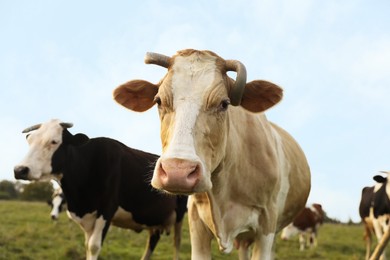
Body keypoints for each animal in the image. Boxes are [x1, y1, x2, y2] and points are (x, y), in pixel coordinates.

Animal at [13, 119, 187, 260]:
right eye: (30, 141)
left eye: (54, 141)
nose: (20, 169)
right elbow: (87, 245)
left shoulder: (107, 209)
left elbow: (93, 246)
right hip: (154, 221)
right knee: (152, 241)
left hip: (180, 214)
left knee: (177, 242)